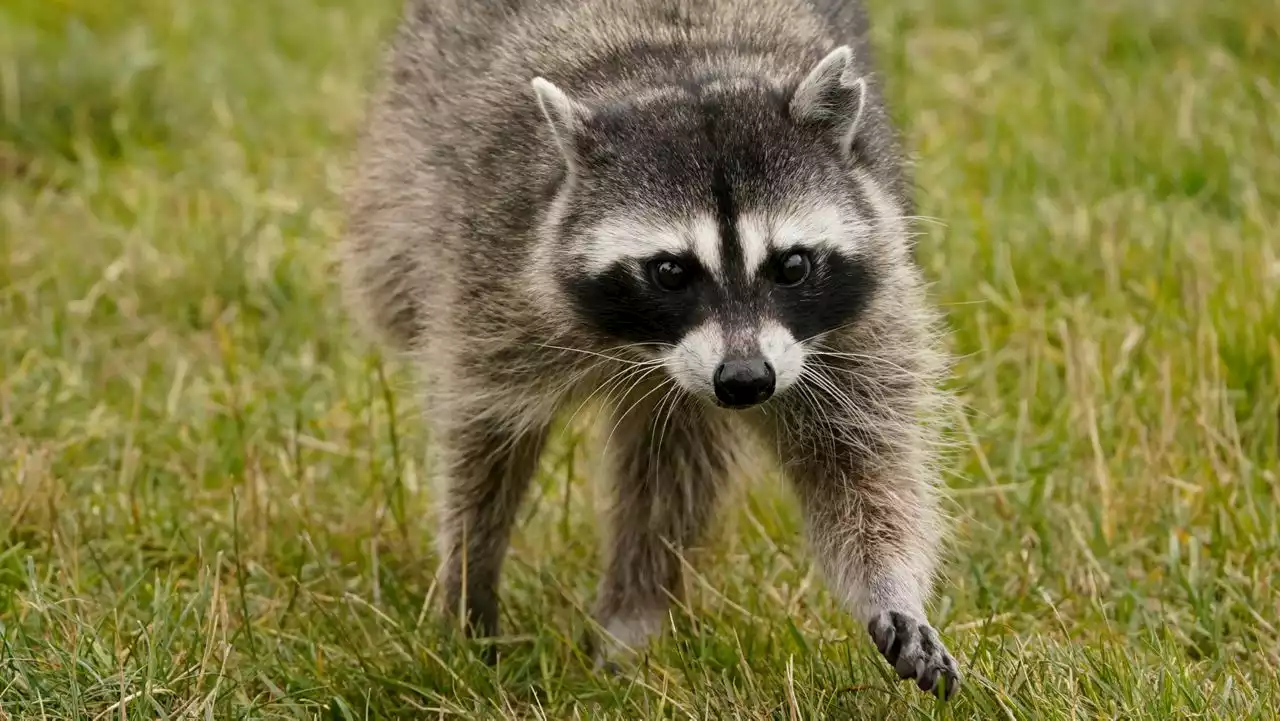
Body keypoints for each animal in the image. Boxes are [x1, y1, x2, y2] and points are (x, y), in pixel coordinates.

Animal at [340, 0, 962, 701]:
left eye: (793, 265)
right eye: (670, 272)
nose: (745, 380)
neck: (686, 70)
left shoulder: (862, 309)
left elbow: (862, 461)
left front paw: (891, 587)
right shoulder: (495, 272)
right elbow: (485, 438)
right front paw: (469, 579)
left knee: (674, 466)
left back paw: (631, 617)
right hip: (404, 163)